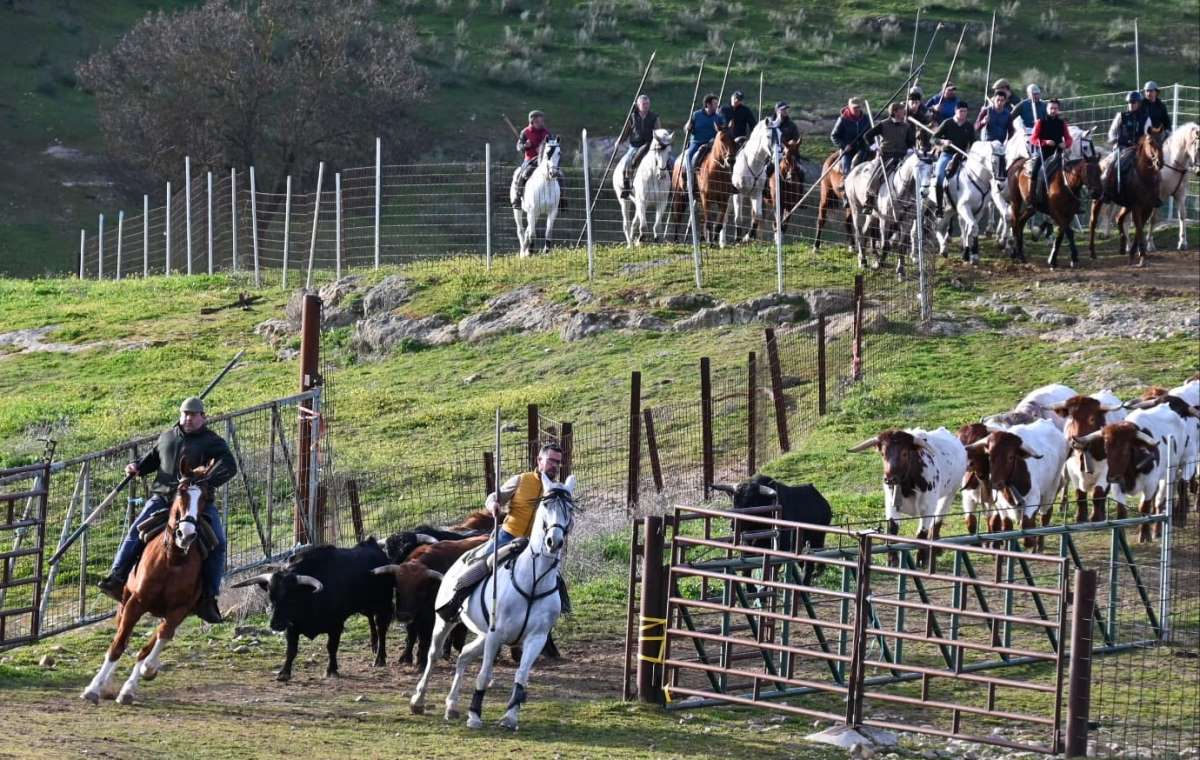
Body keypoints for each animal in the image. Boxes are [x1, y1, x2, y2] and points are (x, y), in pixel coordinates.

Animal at [81, 459, 218, 705]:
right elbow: (117, 645)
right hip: (124, 603)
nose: (186, 534)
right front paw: (93, 688)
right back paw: (107, 684)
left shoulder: (179, 610)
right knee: (121, 638)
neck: (172, 560)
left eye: (206, 497)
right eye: (181, 491)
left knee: (152, 641)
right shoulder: (135, 603)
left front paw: (147, 671)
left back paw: (130, 686)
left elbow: (160, 638)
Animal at [409, 475, 578, 731]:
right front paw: (475, 715)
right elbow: (484, 675)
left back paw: (452, 706)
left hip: (482, 635)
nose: (553, 542)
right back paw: (418, 700)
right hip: (446, 623)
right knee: (434, 655)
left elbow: (521, 677)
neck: (533, 582)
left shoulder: (535, 639)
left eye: (568, 508)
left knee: (464, 656)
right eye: (547, 505)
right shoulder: (496, 634)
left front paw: (510, 717)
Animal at [1007, 127, 1102, 268]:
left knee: (1021, 222)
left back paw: (1019, 252)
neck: (1066, 181)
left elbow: (1061, 234)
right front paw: (1074, 258)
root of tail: (1017, 163)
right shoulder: (1056, 213)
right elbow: (1069, 232)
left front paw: (1053, 259)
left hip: (1032, 207)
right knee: (1014, 221)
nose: (1096, 193)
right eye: (1088, 171)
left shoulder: (1068, 214)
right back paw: (1017, 253)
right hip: (1016, 201)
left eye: (1099, 171)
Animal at [1087, 129, 1164, 267]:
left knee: (1119, 218)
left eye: (1162, 139)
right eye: (1150, 142)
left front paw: (1134, 254)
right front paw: (1142, 256)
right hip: (1098, 200)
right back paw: (1092, 252)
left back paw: (1123, 246)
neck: (1145, 177)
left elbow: (1139, 228)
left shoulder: (1148, 207)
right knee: (1093, 222)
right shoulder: (1137, 207)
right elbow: (1139, 228)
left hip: (1126, 206)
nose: (1159, 162)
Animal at [1146, 122, 1200, 252]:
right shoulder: (1159, 196)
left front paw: (1182, 242)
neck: (1172, 164)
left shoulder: (1180, 194)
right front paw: (1150, 244)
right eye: (1198, 148)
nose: (1199, 171)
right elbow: (1153, 218)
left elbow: (1182, 215)